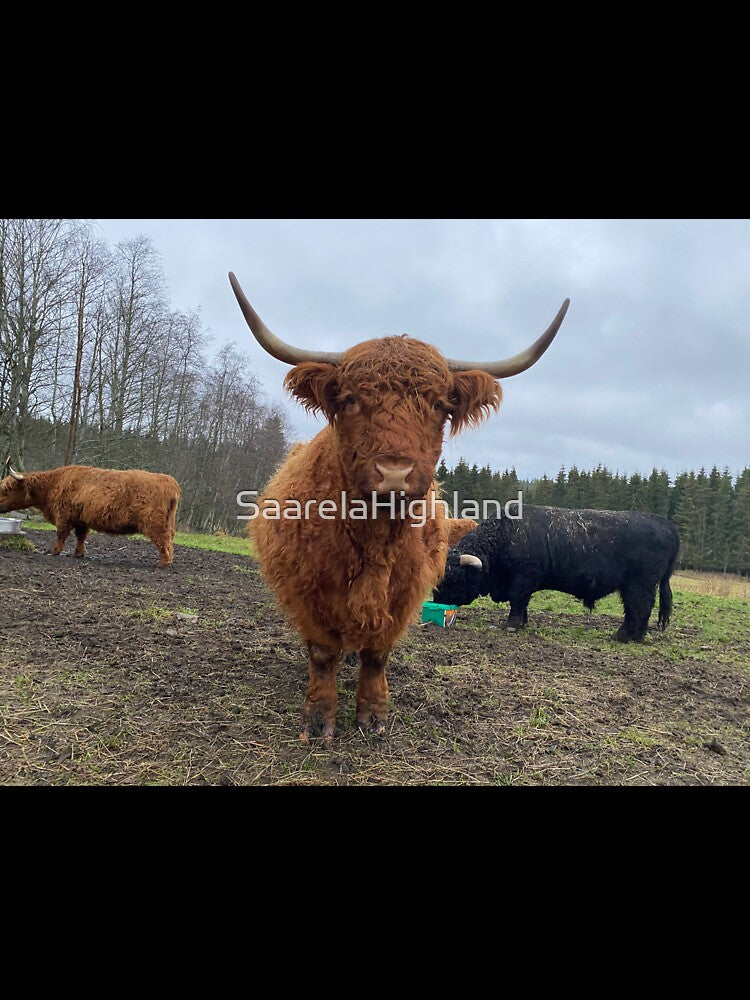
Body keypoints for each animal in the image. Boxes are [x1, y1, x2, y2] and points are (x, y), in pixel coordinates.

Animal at [0, 462, 180, 566]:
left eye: (7, 489)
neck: (53, 484)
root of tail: (169, 482)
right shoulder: (81, 520)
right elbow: (81, 536)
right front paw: (79, 554)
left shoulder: (63, 516)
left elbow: (61, 534)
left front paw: (54, 551)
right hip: (168, 522)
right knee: (170, 539)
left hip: (154, 524)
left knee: (163, 540)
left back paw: (163, 562)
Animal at [229, 272, 569, 741]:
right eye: (351, 399)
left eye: (440, 404)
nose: (394, 472)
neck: (373, 539)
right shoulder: (307, 591)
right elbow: (322, 655)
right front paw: (319, 719)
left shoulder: (403, 595)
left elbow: (377, 656)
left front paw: (373, 717)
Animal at [433, 505, 680, 641]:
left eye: (454, 579)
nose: (436, 601)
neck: (504, 536)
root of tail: (665, 524)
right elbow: (523, 605)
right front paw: (522, 623)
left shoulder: (522, 580)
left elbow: (517, 602)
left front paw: (511, 625)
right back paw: (635, 637)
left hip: (639, 585)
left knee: (639, 608)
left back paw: (623, 636)